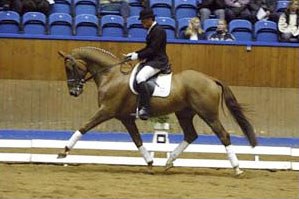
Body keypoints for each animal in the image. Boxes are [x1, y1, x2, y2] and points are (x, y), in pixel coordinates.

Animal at [56, 46, 258, 176]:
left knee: (223, 135)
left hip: (208, 114)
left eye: (69, 67)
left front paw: (63, 152)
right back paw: (169, 163)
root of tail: (211, 78)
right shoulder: (125, 118)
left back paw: (237, 168)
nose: (74, 92)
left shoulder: (106, 111)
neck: (111, 75)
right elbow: (137, 140)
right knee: (191, 135)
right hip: (184, 113)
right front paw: (150, 163)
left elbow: (83, 127)